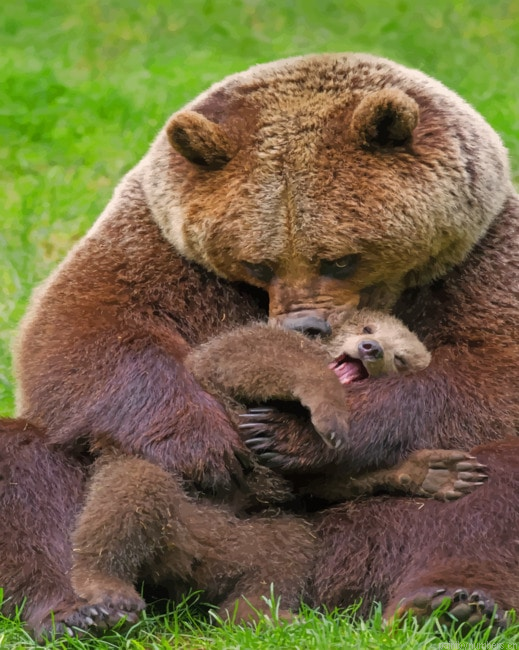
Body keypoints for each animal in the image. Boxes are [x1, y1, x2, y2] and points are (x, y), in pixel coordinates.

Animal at [67, 311, 484, 633]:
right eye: (368, 327)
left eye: (401, 358)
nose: (372, 348)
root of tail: (192, 561)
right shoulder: (219, 366)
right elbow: (261, 354)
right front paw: (330, 409)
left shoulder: (304, 474)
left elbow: (331, 481)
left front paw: (436, 470)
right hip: (172, 502)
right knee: (133, 491)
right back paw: (107, 590)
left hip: (253, 536)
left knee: (285, 554)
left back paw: (265, 615)